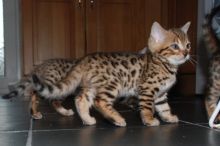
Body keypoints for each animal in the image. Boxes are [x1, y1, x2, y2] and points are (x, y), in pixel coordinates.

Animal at [31, 21, 192, 125]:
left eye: (188, 45)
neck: (165, 64)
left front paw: (169, 118)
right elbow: (147, 107)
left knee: (81, 99)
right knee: (99, 102)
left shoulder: (161, 94)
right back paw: (117, 119)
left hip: (92, 85)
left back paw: (87, 120)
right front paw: (149, 120)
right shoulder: (148, 89)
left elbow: (164, 107)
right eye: (174, 46)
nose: (186, 54)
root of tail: (85, 58)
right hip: (112, 84)